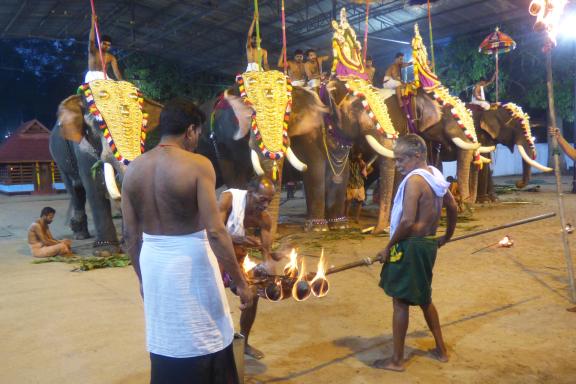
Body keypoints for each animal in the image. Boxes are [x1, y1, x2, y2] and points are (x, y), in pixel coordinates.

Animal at [49, 80, 162, 252]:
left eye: (143, 123)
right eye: (98, 123)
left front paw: (128, 247)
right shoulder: (82, 147)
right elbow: (93, 187)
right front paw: (105, 251)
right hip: (59, 160)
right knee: (75, 190)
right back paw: (80, 234)